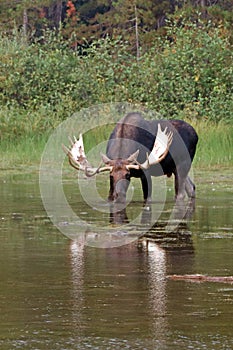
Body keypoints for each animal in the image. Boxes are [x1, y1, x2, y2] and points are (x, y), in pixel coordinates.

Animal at [63, 113, 198, 202]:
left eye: (127, 175)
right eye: (111, 176)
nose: (120, 195)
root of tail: (196, 134)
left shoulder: (145, 173)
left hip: (183, 164)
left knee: (180, 194)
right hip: (175, 168)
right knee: (191, 188)